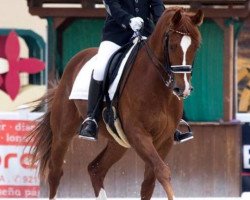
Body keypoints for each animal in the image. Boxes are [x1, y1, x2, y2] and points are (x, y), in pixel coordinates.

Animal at [28, 7, 203, 200]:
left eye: (196, 47)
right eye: (172, 46)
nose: (183, 89)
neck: (158, 88)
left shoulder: (164, 140)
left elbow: (149, 182)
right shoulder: (138, 134)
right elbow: (162, 171)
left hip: (118, 142)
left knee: (96, 169)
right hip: (62, 133)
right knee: (55, 173)